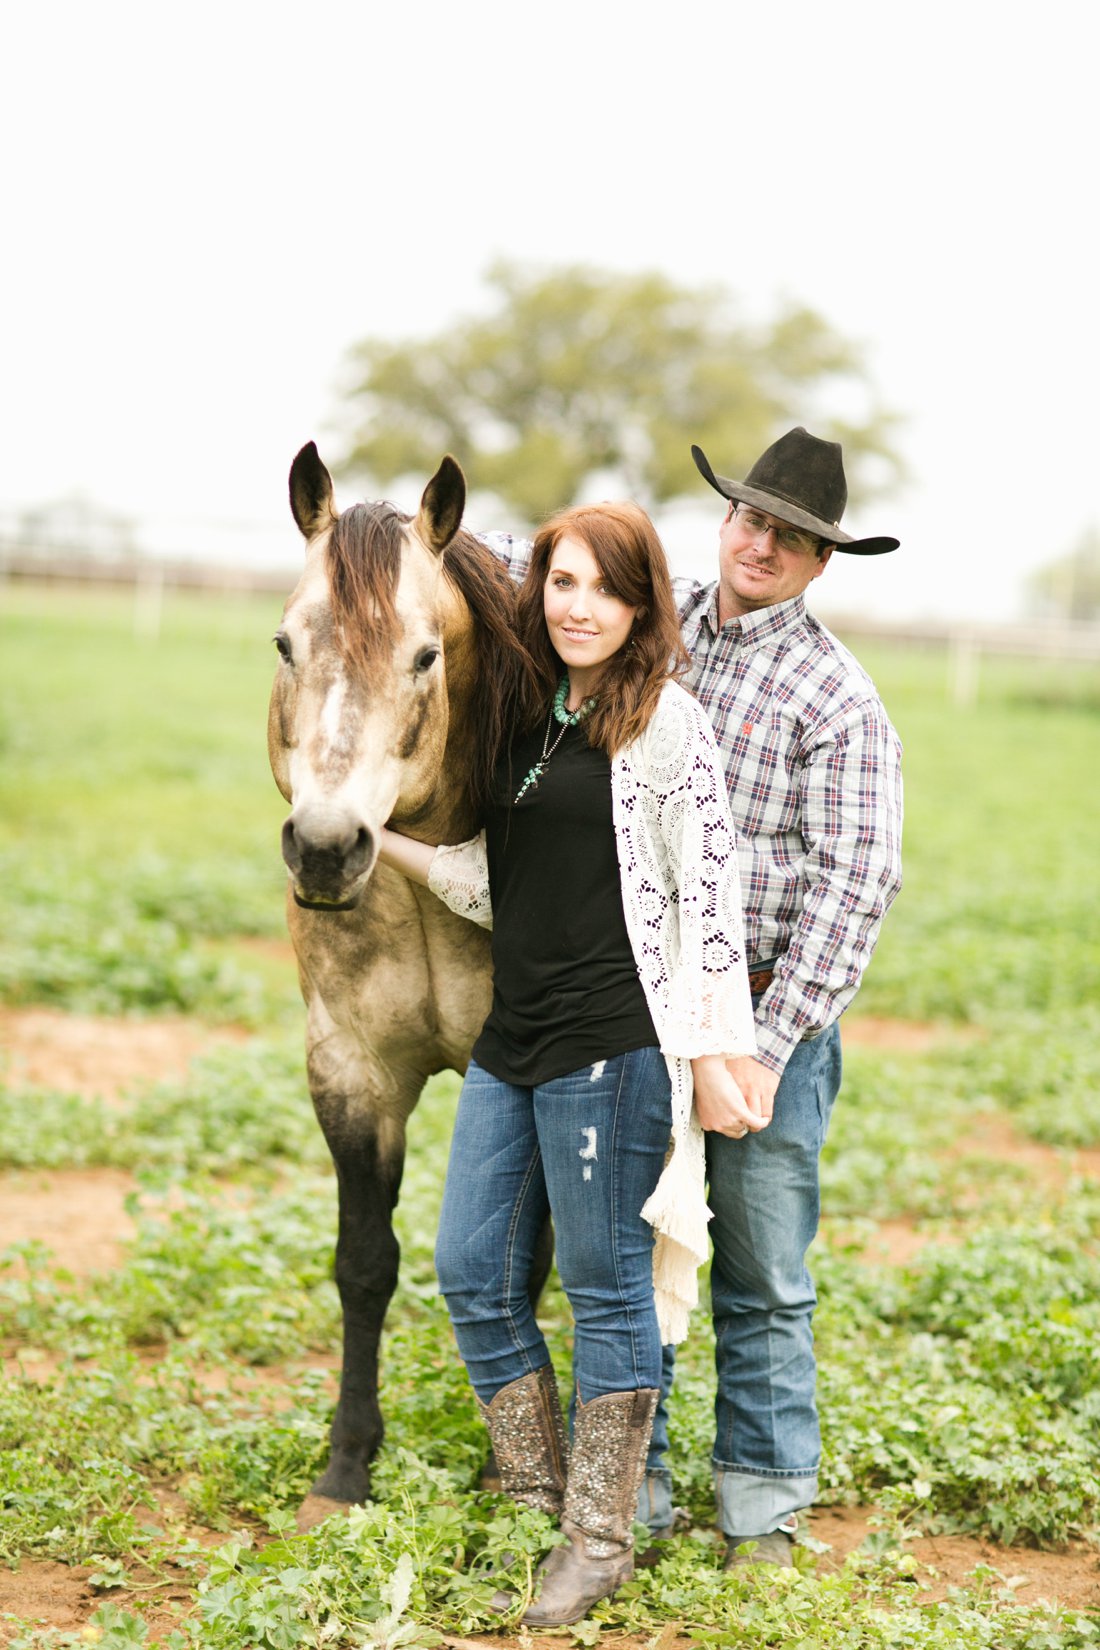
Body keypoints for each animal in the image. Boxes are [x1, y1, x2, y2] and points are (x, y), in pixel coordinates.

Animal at [270, 445, 547, 1524]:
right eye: (285, 643)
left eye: (426, 657)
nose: (324, 847)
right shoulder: (352, 1072)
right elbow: (364, 1263)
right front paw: (347, 1467)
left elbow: (522, 1260)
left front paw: (514, 1466)